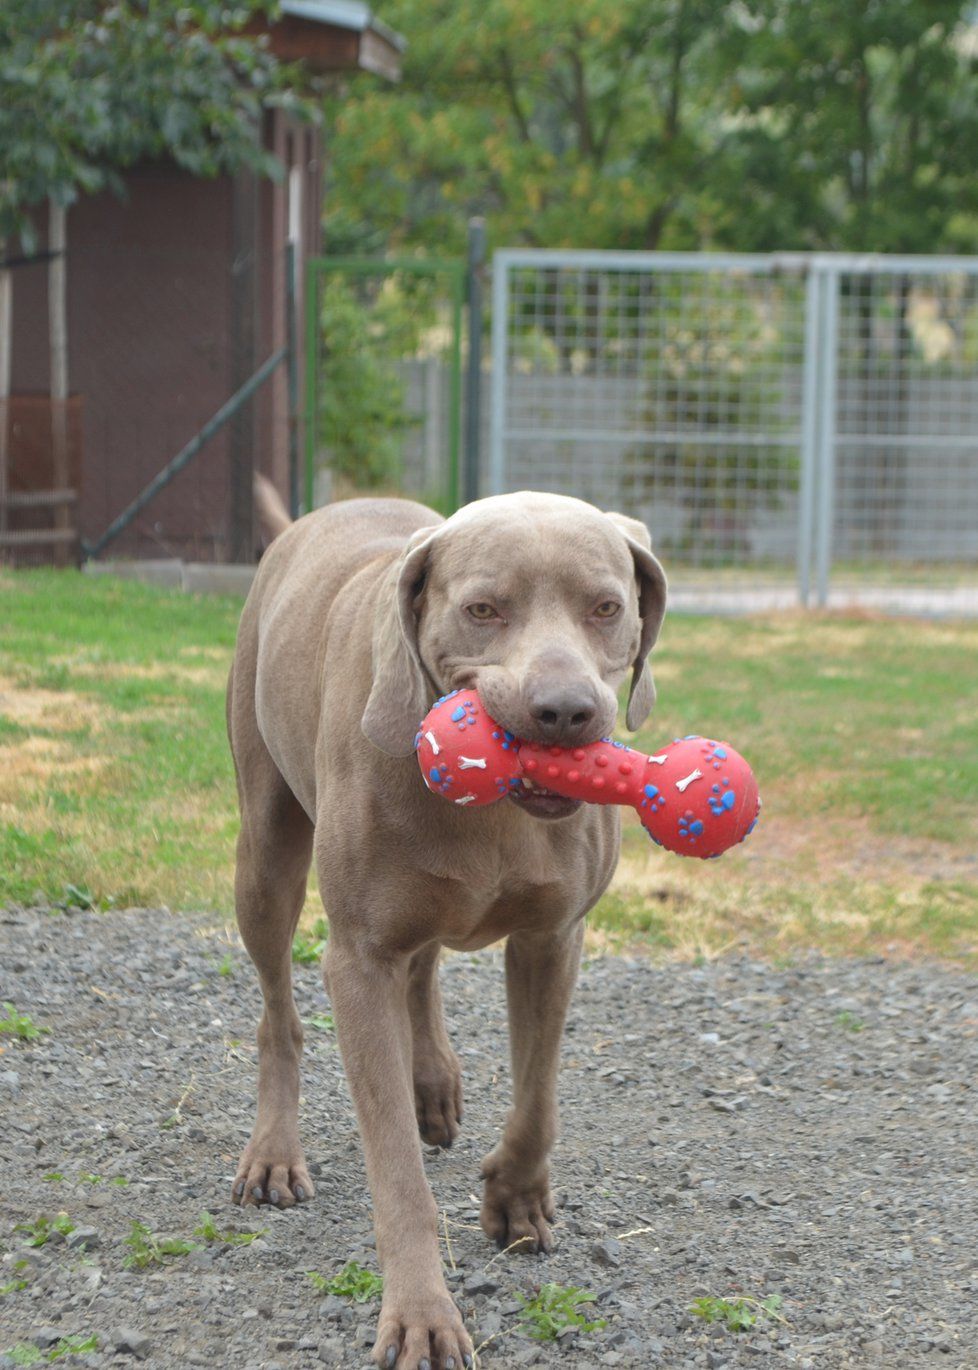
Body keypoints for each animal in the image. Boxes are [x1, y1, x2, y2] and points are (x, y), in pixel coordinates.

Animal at [226, 490, 665, 1370]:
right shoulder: (358, 961)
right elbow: (396, 1170)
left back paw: (432, 1084)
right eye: (483, 610)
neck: (493, 812)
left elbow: (538, 1101)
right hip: (265, 851)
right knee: (278, 1013)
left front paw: (517, 1200)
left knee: (424, 966)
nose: (564, 712)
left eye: (607, 607)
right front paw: (422, 1316)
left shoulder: (553, 939)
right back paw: (276, 1152)